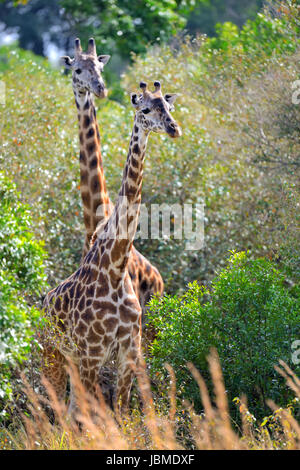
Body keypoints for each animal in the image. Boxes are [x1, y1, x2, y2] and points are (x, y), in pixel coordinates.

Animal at [42, 81, 180, 412]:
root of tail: (42, 304)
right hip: (53, 353)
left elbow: (123, 413)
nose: (173, 128)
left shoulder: (129, 350)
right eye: (145, 109)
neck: (115, 267)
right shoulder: (92, 353)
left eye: (169, 108)